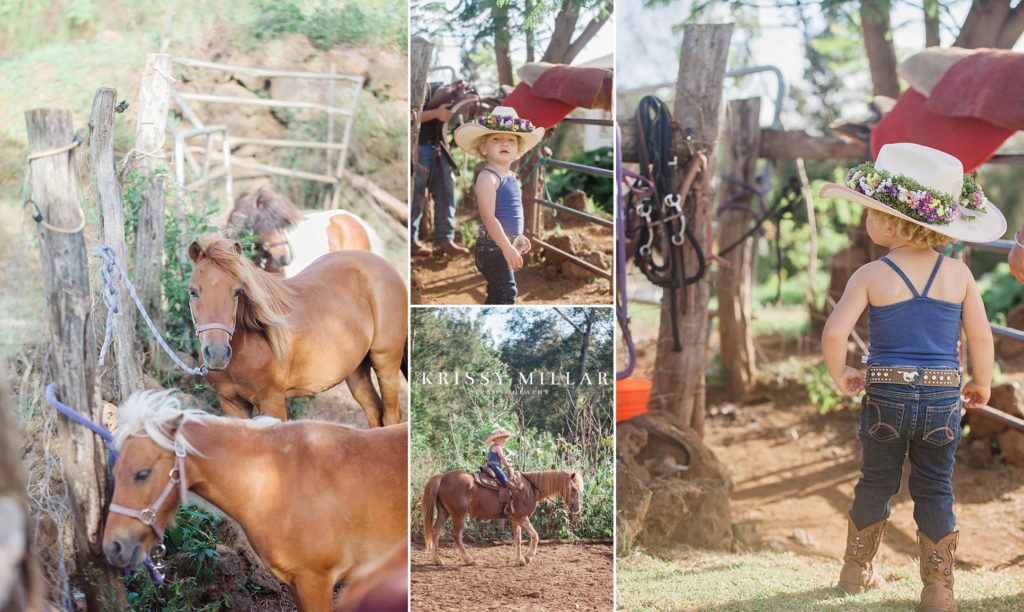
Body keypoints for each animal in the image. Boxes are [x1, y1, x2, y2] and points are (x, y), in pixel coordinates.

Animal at [187, 237, 403, 429]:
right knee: (374, 412)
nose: (217, 354)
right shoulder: (232, 404)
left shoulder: (272, 402)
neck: (249, 345)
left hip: (386, 364)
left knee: (391, 416)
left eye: (237, 292)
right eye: (192, 291)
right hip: (356, 371)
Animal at [417, 472, 581, 569]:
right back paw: (468, 560)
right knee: (456, 535)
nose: (577, 508)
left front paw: (519, 560)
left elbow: (518, 539)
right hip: (459, 515)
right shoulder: (522, 518)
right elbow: (535, 536)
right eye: (574, 489)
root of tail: (443, 477)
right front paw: (528, 557)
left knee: (435, 531)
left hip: (444, 513)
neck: (528, 489)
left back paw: (437, 560)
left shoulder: (516, 520)